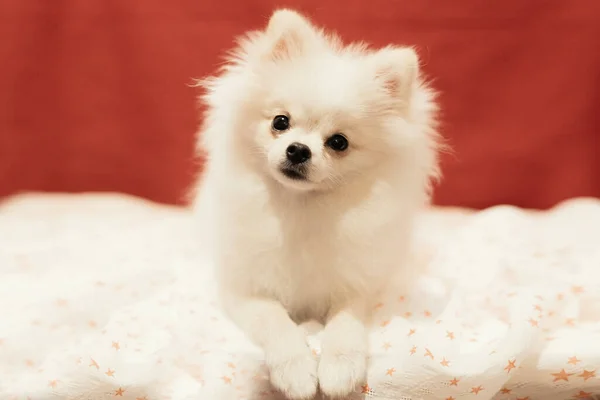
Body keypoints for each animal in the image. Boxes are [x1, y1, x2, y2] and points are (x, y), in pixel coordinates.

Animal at [193, 9, 440, 400]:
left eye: (338, 142)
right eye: (280, 122)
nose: (298, 149)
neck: (301, 209)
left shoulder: (355, 285)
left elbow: (346, 324)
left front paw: (340, 367)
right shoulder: (245, 290)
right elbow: (276, 322)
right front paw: (296, 371)